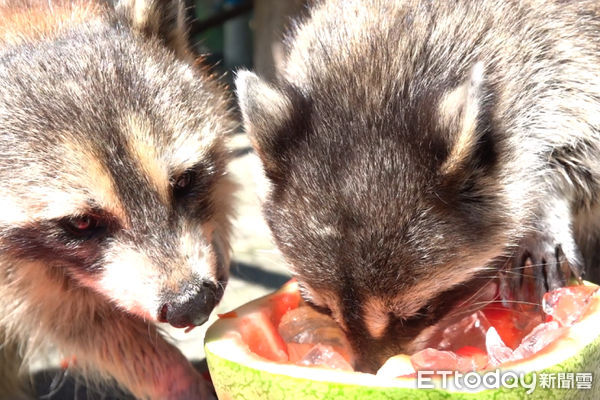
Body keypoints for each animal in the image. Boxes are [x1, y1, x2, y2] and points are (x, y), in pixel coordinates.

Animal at [0, 0, 234, 396]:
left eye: (184, 181)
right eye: (81, 223)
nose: (192, 303)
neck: (36, 24)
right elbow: (77, 321)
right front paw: (171, 375)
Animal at [237, 0, 600, 374]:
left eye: (418, 314)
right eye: (323, 307)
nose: (371, 371)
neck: (374, 82)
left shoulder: (567, 58)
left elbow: (578, 150)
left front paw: (544, 214)